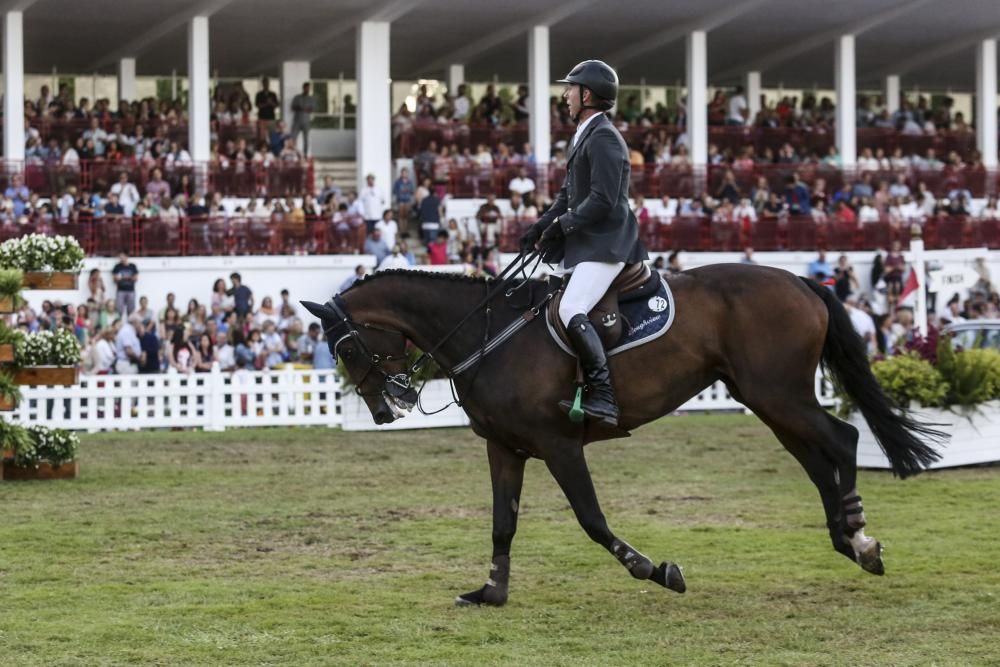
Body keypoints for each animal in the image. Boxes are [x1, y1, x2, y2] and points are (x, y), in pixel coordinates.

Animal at [300, 264, 940, 608]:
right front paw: (490, 594)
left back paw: (861, 540)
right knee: (816, 459)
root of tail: (800, 280)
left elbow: (591, 519)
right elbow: (503, 523)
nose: (386, 410)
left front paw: (654, 569)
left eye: (347, 348)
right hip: (769, 400)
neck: (488, 333)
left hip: (780, 394)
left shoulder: (558, 445)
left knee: (843, 440)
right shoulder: (503, 447)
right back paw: (848, 541)